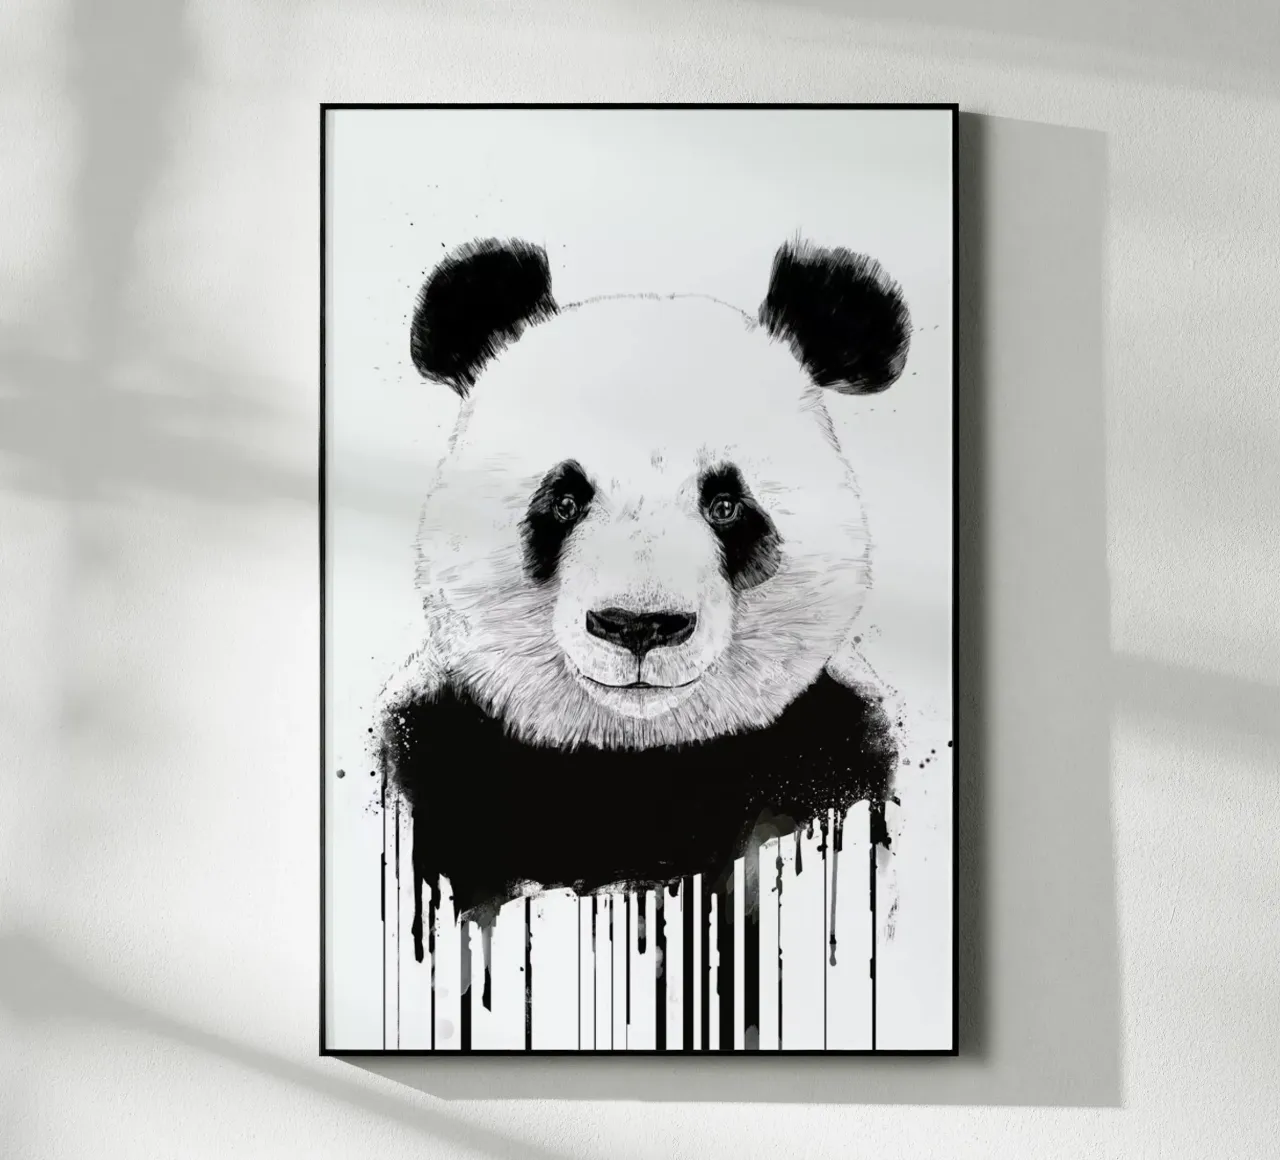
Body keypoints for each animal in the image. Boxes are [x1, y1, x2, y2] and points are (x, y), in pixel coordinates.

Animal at [377, 236, 910, 954]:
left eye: (725, 504)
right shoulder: (442, 751)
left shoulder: (830, 750)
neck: (635, 761)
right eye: (564, 500)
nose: (638, 626)